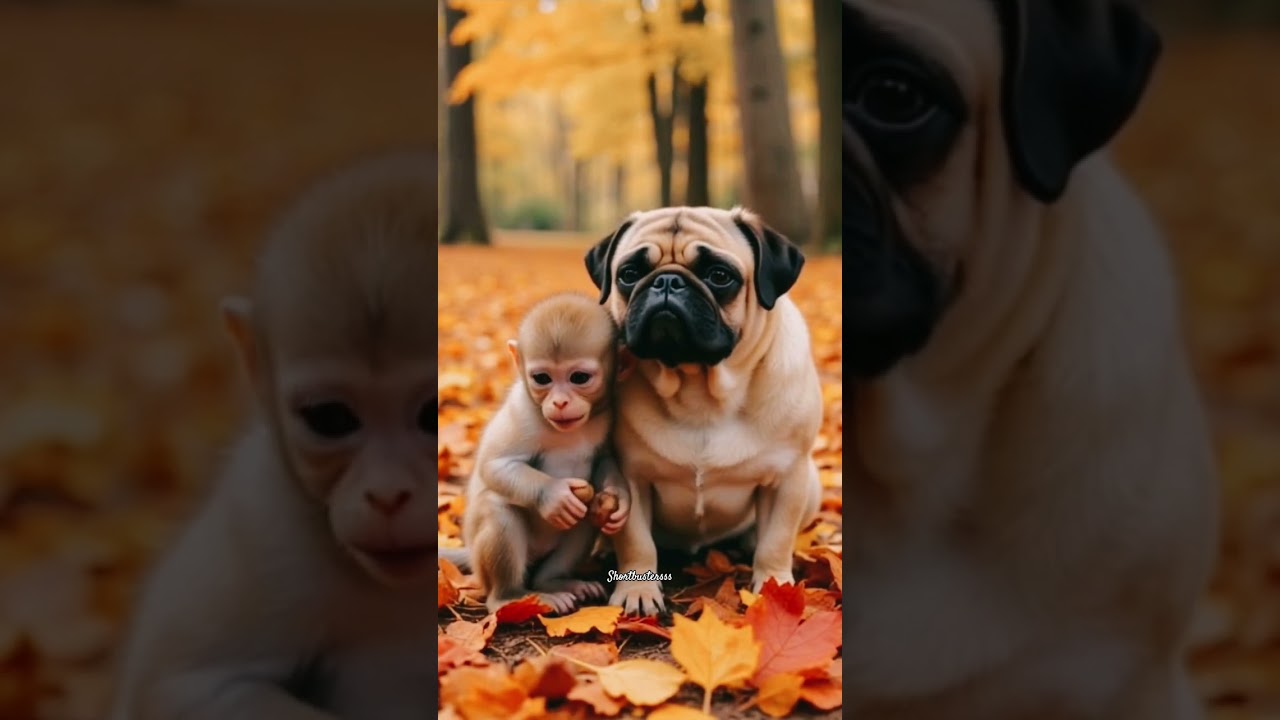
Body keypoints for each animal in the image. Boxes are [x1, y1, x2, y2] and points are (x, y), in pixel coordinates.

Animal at [455, 292, 632, 614]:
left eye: (579, 378)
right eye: (542, 378)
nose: (560, 402)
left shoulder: (608, 412)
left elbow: (604, 460)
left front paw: (620, 498)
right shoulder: (522, 412)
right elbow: (496, 465)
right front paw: (554, 496)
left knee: (584, 519)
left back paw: (555, 582)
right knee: (500, 510)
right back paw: (511, 596)